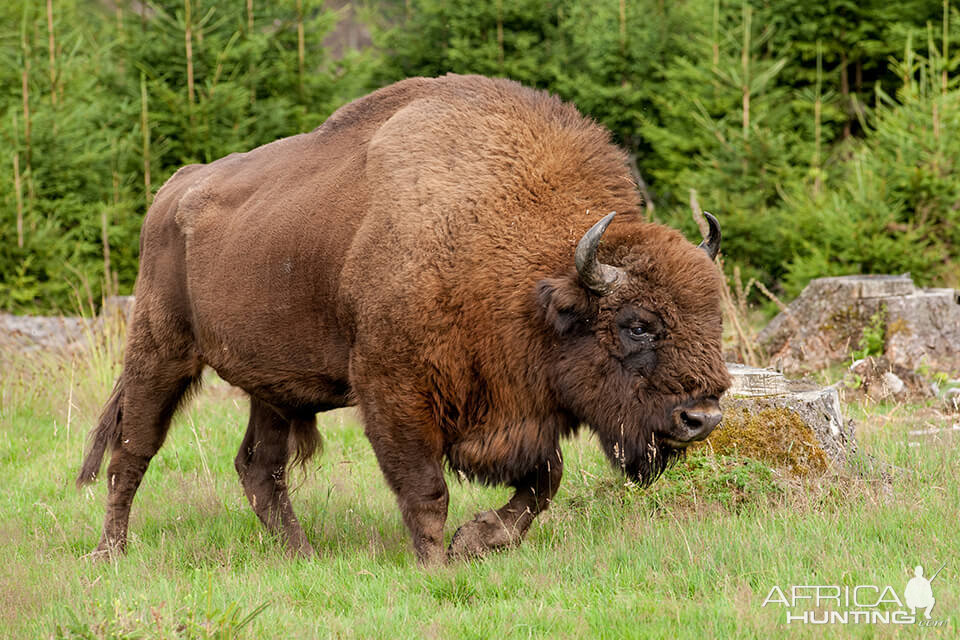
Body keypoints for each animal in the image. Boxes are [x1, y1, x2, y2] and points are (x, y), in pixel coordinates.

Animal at [79, 75, 732, 564]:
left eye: (714, 318)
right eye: (637, 324)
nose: (701, 418)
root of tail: (173, 191)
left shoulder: (524, 410)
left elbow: (543, 482)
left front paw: (476, 541)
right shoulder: (395, 393)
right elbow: (427, 490)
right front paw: (439, 562)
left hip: (271, 386)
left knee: (258, 467)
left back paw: (302, 554)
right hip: (159, 350)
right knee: (132, 453)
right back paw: (111, 553)